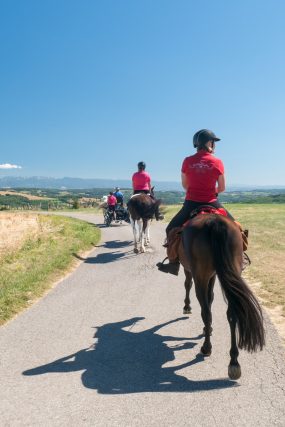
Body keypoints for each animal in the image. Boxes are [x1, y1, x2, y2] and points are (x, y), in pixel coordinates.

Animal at [175, 216, 264, 380]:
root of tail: (213, 222)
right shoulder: (214, 274)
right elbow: (211, 298)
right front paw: (207, 328)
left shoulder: (192, 271)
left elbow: (189, 285)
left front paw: (187, 307)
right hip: (231, 269)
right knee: (232, 313)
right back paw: (234, 362)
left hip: (200, 275)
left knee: (205, 311)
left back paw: (206, 347)